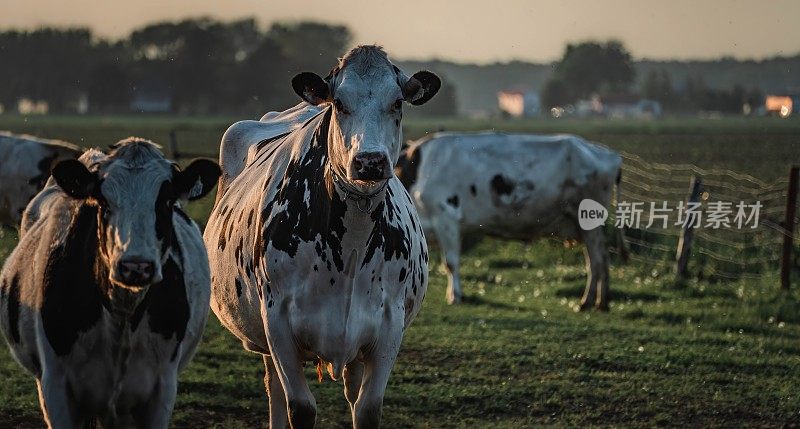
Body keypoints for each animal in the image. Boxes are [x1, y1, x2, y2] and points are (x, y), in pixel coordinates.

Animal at [0, 139, 220, 426]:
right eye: (103, 202)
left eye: (167, 201)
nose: (136, 266)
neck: (121, 315)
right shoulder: (55, 388)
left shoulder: (161, 391)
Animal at [206, 45, 440, 426]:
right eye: (339, 103)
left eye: (397, 103)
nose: (370, 161)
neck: (351, 245)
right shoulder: (278, 324)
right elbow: (300, 407)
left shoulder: (388, 328)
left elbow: (367, 408)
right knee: (274, 388)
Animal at [396, 132, 624, 310]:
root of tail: (609, 154)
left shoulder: (446, 217)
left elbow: (451, 263)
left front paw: (455, 297)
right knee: (596, 259)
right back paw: (597, 302)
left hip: (590, 221)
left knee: (598, 259)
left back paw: (593, 302)